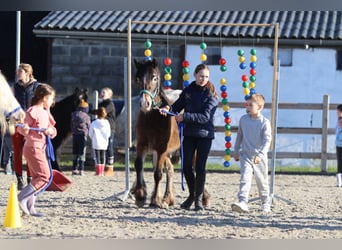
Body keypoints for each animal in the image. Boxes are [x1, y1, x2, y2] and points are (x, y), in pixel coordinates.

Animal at [130, 57, 180, 208]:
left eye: (154, 78)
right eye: (137, 79)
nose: (144, 104)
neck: (153, 117)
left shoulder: (161, 149)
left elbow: (158, 173)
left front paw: (154, 201)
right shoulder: (142, 145)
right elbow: (138, 165)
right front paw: (140, 195)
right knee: (170, 170)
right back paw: (167, 198)